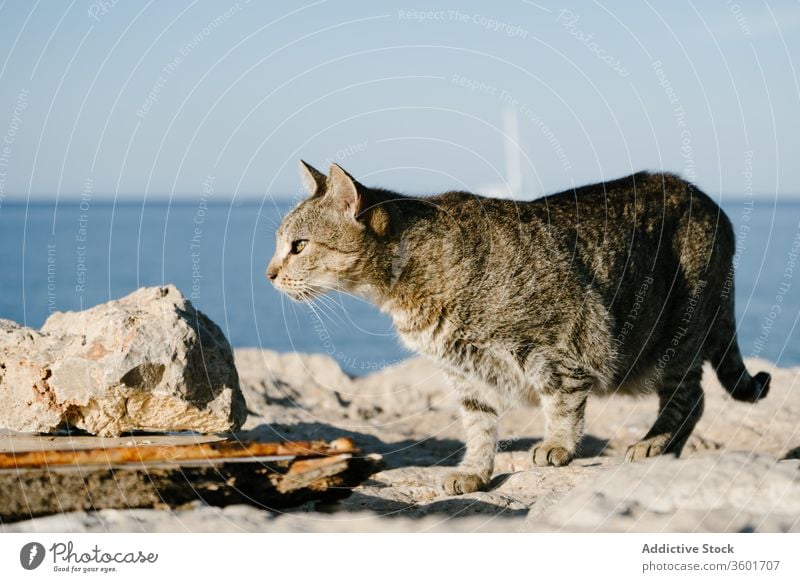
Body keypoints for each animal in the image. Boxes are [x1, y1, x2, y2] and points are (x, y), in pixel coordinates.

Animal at [268, 163, 768, 498]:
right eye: (281, 243)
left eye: (299, 246)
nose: (269, 273)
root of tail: (714, 206)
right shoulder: (464, 373)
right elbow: (479, 426)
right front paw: (475, 470)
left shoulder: (568, 336)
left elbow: (562, 402)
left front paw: (557, 445)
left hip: (676, 337)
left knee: (691, 395)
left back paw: (654, 443)